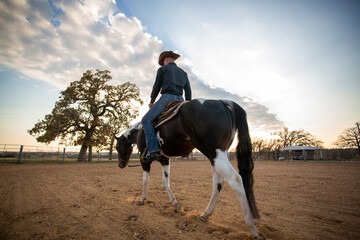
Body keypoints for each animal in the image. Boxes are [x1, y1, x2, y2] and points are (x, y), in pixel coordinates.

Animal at [116, 98, 262, 239]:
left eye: (117, 147)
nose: (120, 165)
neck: (140, 131)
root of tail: (223, 102)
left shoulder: (145, 161)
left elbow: (145, 180)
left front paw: (142, 199)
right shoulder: (165, 160)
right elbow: (165, 182)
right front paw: (175, 203)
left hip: (215, 154)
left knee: (236, 179)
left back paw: (252, 227)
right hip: (216, 157)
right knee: (218, 183)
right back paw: (205, 214)